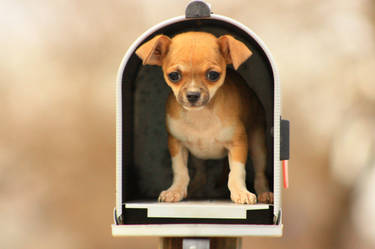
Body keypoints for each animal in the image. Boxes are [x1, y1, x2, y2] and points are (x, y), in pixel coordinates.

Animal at [135, 31, 274, 203]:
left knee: (260, 173)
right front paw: (176, 190)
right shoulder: (176, 145)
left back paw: (265, 193)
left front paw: (240, 192)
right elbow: (180, 171)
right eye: (173, 76)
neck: (200, 115)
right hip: (197, 156)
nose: (193, 95)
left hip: (257, 145)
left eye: (213, 75)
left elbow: (237, 172)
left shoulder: (238, 144)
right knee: (201, 174)